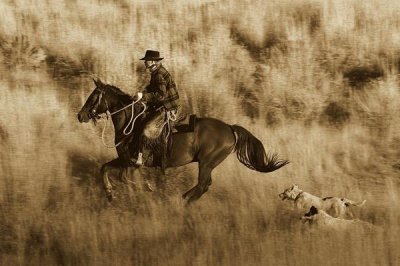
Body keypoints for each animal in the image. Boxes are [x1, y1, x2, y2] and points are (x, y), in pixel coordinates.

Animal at [76, 78, 290, 202]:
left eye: (93, 97)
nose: (80, 115)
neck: (132, 124)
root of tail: (230, 128)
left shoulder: (132, 162)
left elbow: (125, 178)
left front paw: (146, 189)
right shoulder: (125, 160)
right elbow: (105, 168)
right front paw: (110, 193)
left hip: (206, 163)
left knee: (203, 185)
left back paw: (183, 200)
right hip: (208, 164)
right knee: (205, 186)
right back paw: (185, 198)